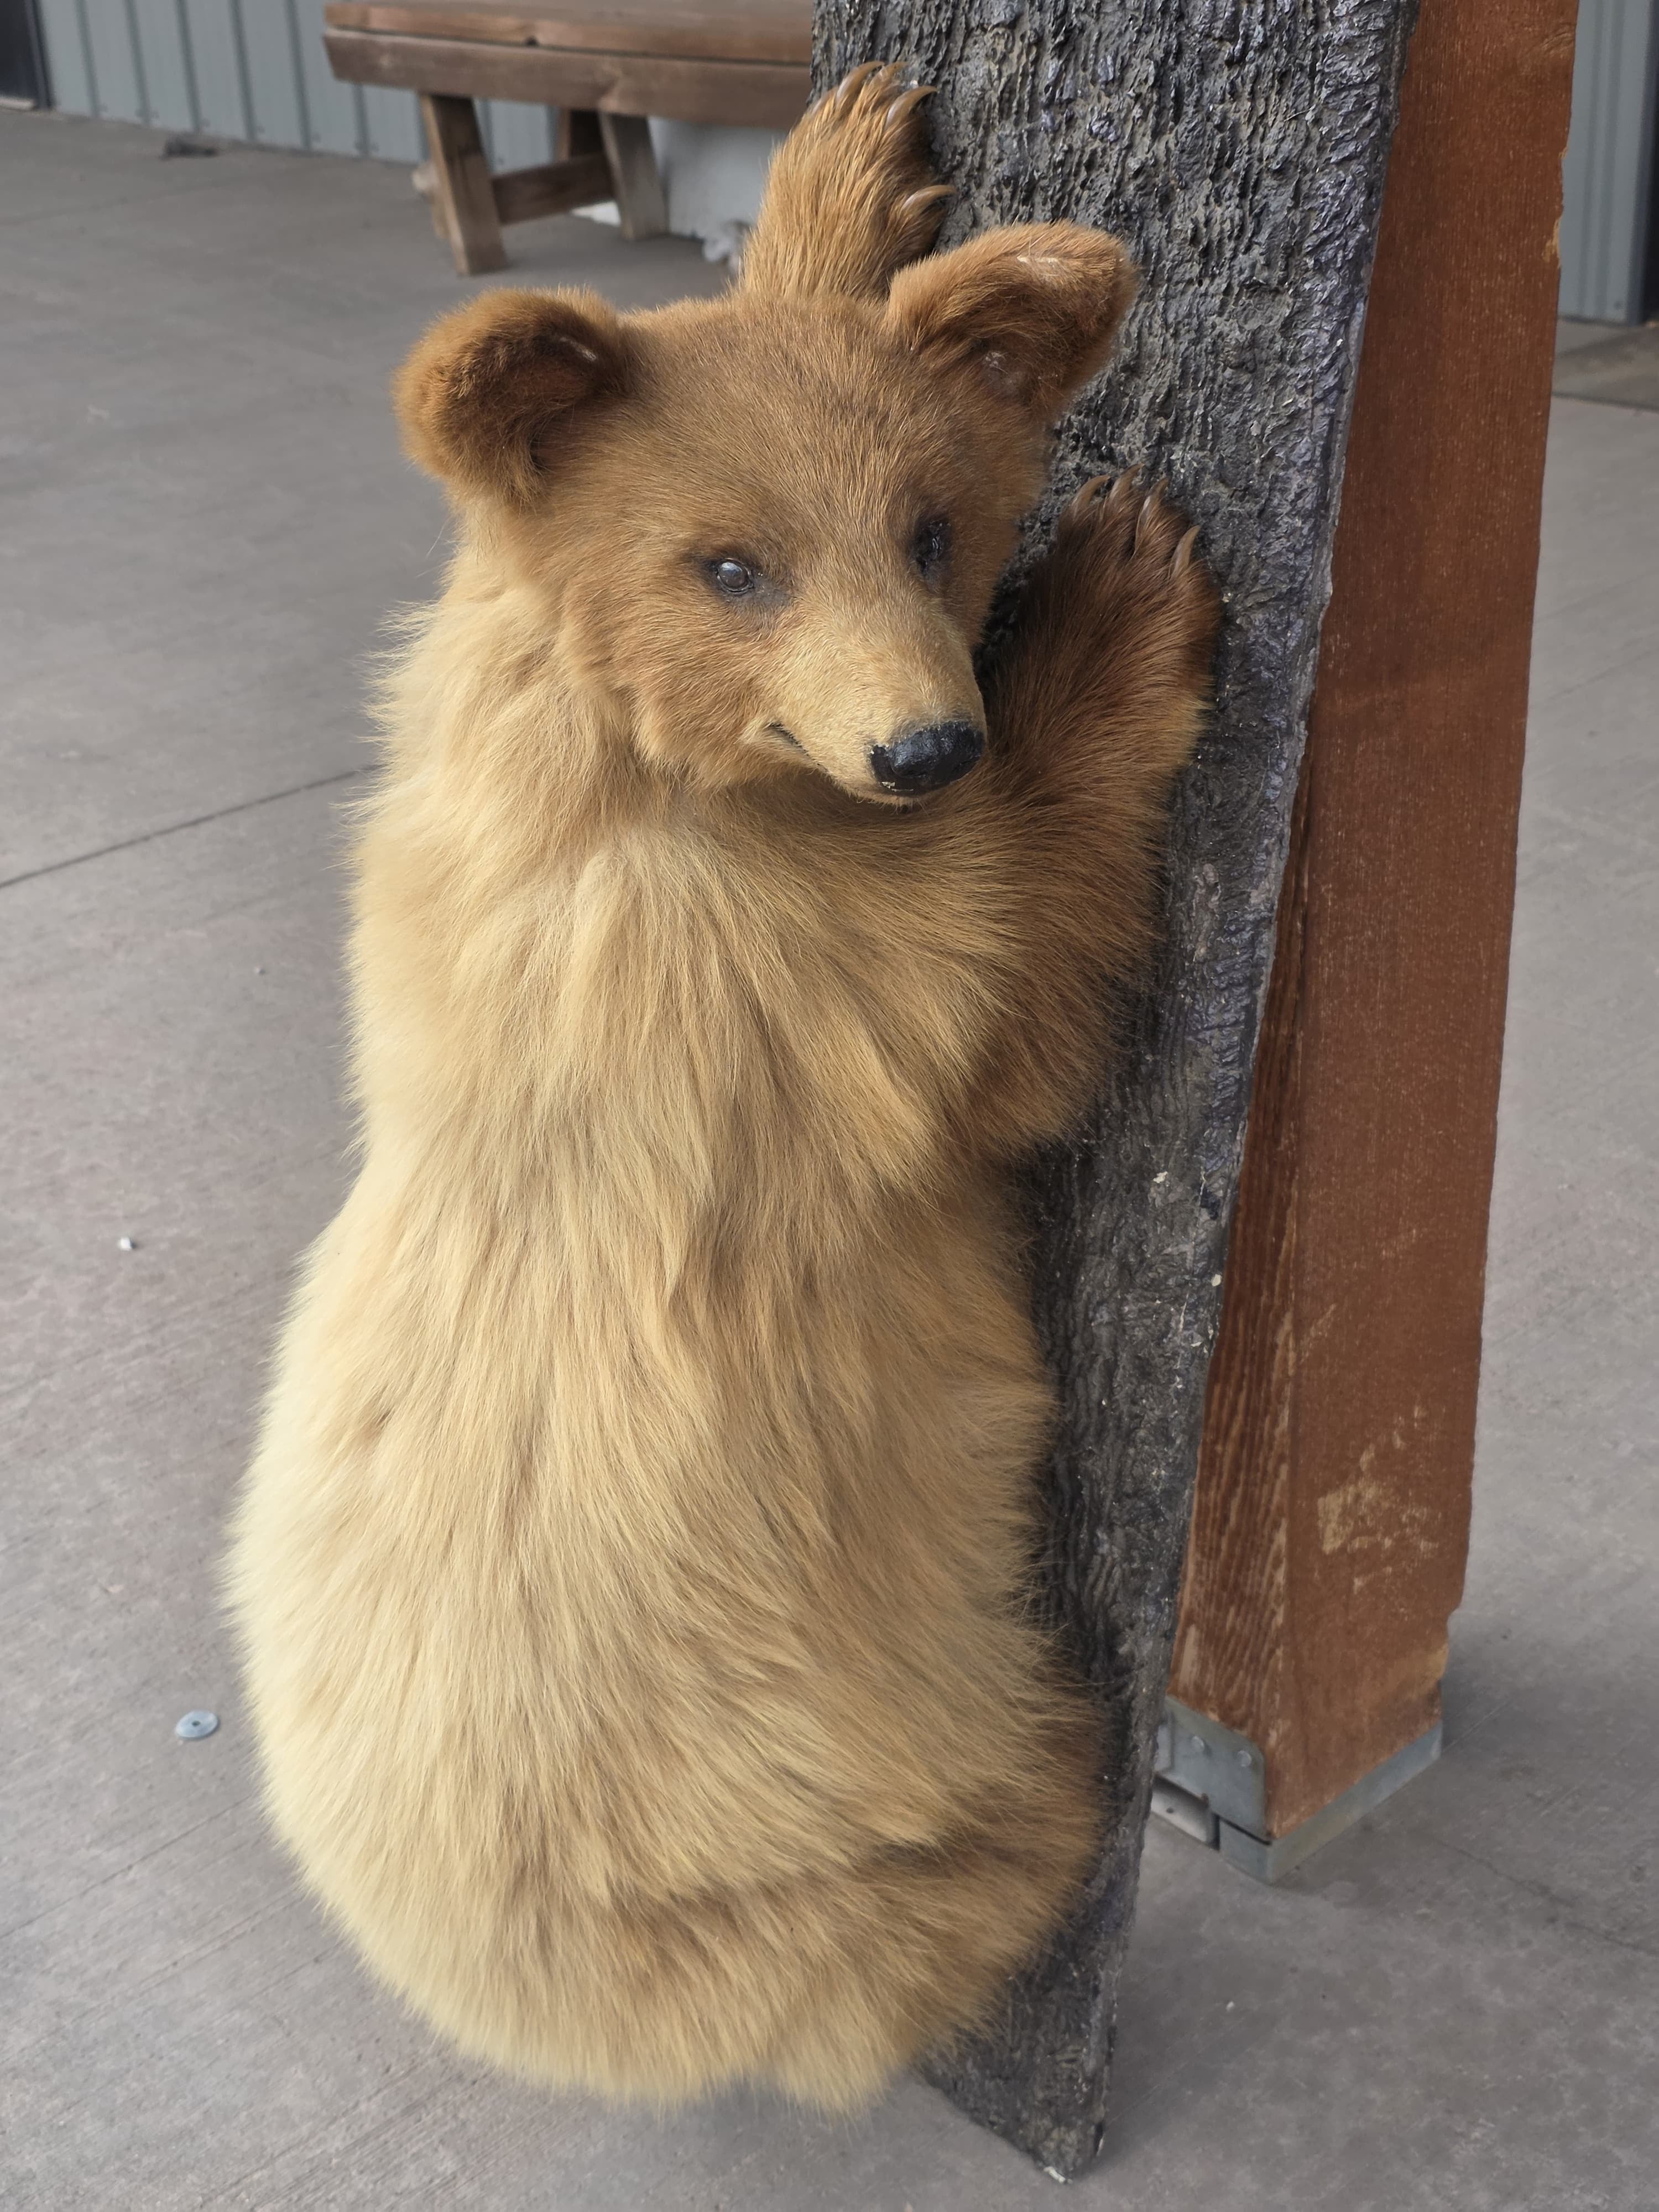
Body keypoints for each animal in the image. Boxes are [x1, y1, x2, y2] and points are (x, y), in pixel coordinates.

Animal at [228, 63, 1219, 2112]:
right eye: (731, 565)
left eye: (931, 528)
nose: (927, 745)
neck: (647, 778)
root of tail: (462, 1983)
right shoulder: (750, 998)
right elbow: (1007, 1017)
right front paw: (1115, 612)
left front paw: (841, 176)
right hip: (814, 1834)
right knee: (956, 1885)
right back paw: (1072, 1795)